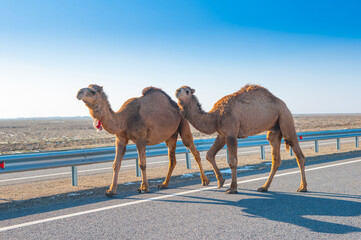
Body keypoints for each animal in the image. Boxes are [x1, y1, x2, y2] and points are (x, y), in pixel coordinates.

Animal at [77, 83, 210, 196]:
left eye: (93, 91)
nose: (79, 92)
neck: (125, 118)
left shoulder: (140, 139)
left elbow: (142, 164)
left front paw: (144, 188)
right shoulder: (120, 139)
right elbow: (116, 164)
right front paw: (111, 190)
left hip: (183, 123)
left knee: (194, 151)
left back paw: (205, 180)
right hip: (171, 136)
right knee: (172, 159)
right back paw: (164, 184)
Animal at [174, 84, 306, 193]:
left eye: (187, 91)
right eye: (180, 88)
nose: (177, 91)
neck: (215, 116)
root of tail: (285, 105)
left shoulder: (231, 133)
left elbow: (233, 161)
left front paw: (232, 188)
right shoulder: (222, 134)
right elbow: (209, 154)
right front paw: (220, 181)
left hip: (286, 118)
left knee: (298, 153)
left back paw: (303, 187)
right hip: (274, 130)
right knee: (276, 159)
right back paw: (264, 187)